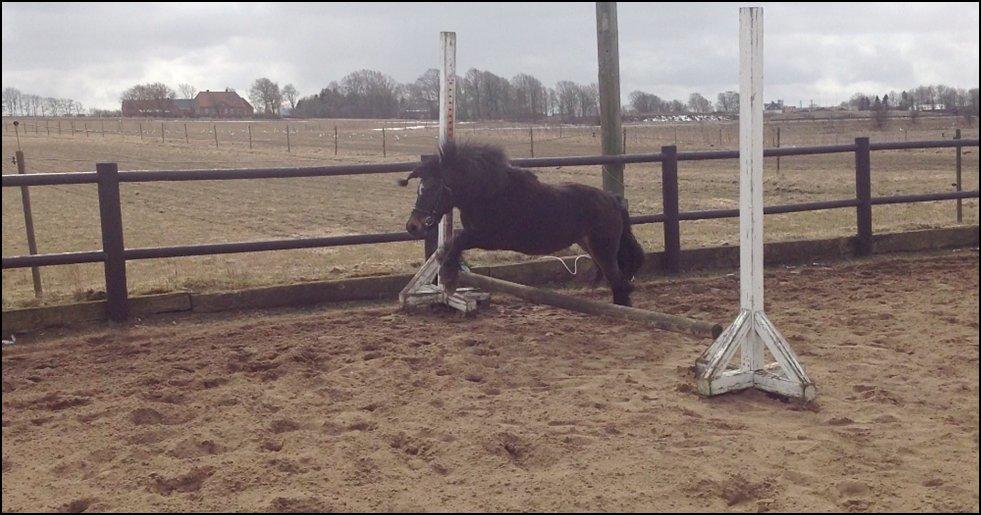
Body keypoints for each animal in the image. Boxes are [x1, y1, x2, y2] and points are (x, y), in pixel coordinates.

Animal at [399, 141, 645, 306]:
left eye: (432, 189)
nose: (413, 226)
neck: (489, 194)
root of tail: (613, 199)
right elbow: (451, 243)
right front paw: (447, 266)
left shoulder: (491, 237)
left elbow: (457, 239)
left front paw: (449, 277)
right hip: (591, 246)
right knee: (620, 282)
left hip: (603, 250)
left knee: (621, 283)